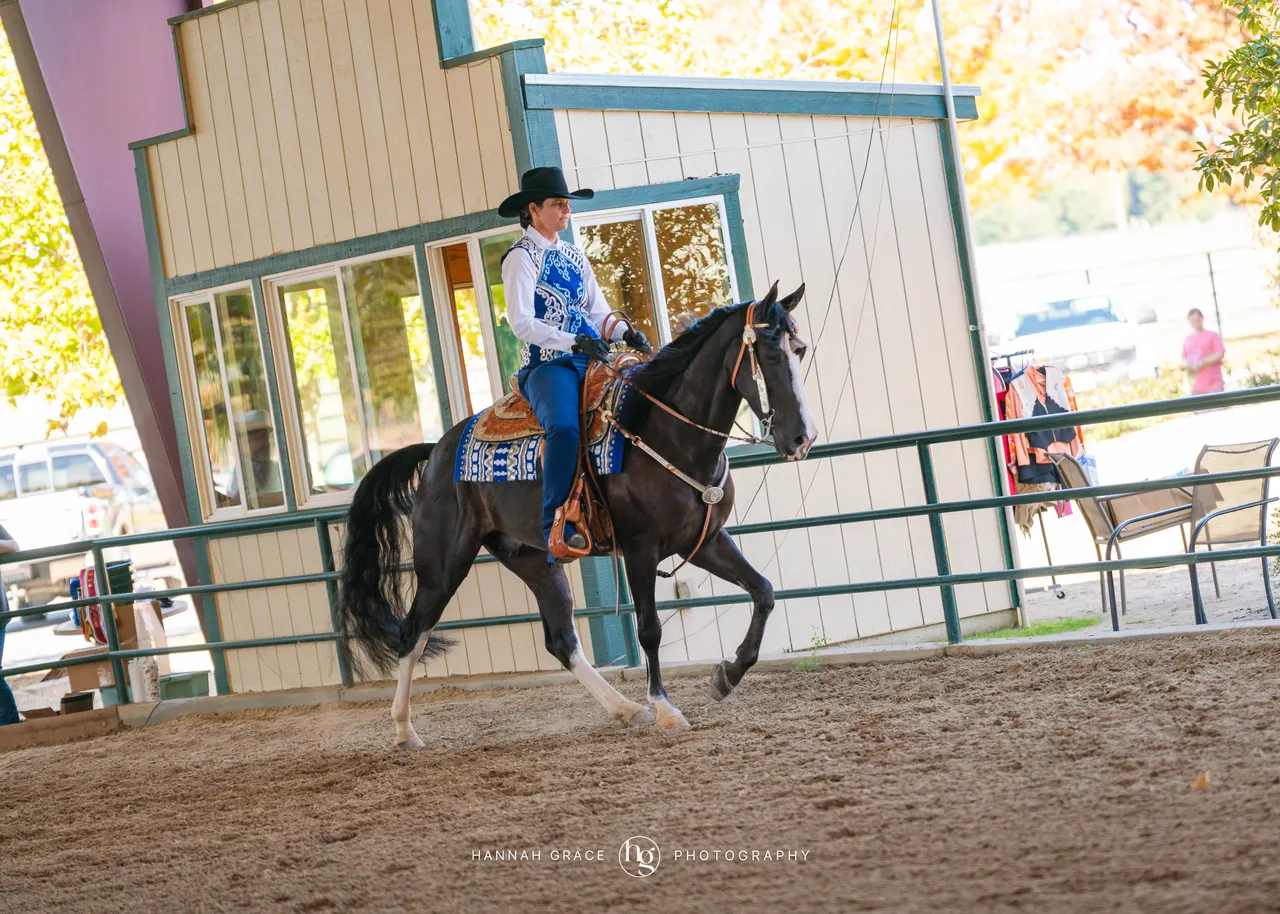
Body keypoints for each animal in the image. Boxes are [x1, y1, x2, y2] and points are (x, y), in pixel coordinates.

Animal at [335, 281, 817, 748]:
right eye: (770, 353)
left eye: (801, 349)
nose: (802, 438)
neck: (664, 432)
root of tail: (435, 450)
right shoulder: (640, 551)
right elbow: (650, 630)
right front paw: (665, 707)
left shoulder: (704, 542)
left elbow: (764, 591)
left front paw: (727, 676)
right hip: (442, 565)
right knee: (412, 634)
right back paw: (404, 731)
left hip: (534, 561)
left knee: (562, 641)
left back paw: (626, 709)